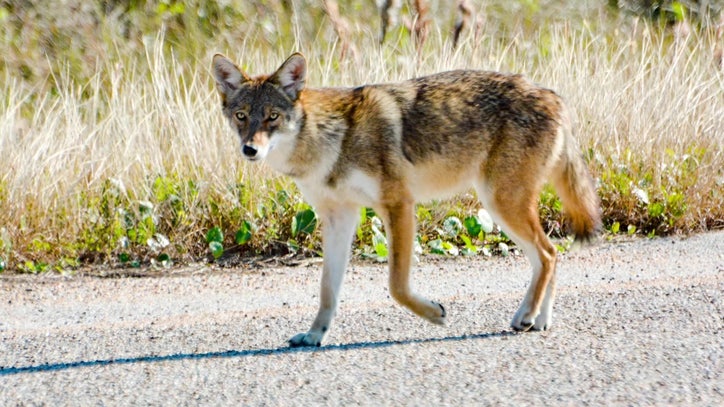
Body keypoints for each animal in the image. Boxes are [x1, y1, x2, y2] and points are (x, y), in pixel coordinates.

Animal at [212, 52, 601, 347]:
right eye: (242, 116)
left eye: (272, 117)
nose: (250, 149)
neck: (331, 141)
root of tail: (552, 95)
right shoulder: (339, 218)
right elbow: (327, 290)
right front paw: (315, 334)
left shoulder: (398, 205)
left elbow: (396, 286)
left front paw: (434, 314)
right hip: (501, 208)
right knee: (549, 255)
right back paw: (537, 319)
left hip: (501, 204)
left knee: (548, 255)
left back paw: (529, 316)